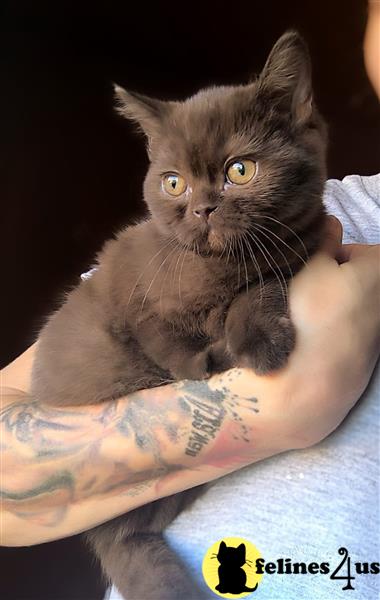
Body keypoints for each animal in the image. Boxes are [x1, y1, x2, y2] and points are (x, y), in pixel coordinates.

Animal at [31, 32, 326, 600]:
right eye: (173, 184)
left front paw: (256, 341)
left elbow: (259, 289)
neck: (219, 267)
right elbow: (158, 334)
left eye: (239, 171)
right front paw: (199, 362)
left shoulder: (293, 253)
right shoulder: (135, 293)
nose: (202, 208)